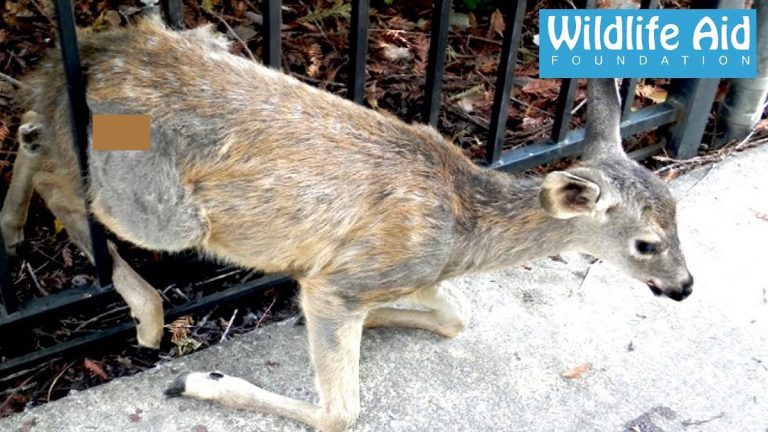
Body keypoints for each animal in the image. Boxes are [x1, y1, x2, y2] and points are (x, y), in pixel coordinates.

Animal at [0, 16, 693, 432]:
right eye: (646, 243)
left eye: (679, 216)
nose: (684, 287)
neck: (463, 229)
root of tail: (99, 51)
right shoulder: (343, 281)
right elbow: (341, 411)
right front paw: (198, 380)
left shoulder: (400, 275)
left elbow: (457, 315)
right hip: (163, 213)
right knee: (63, 180)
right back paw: (143, 316)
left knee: (36, 133)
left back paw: (12, 226)